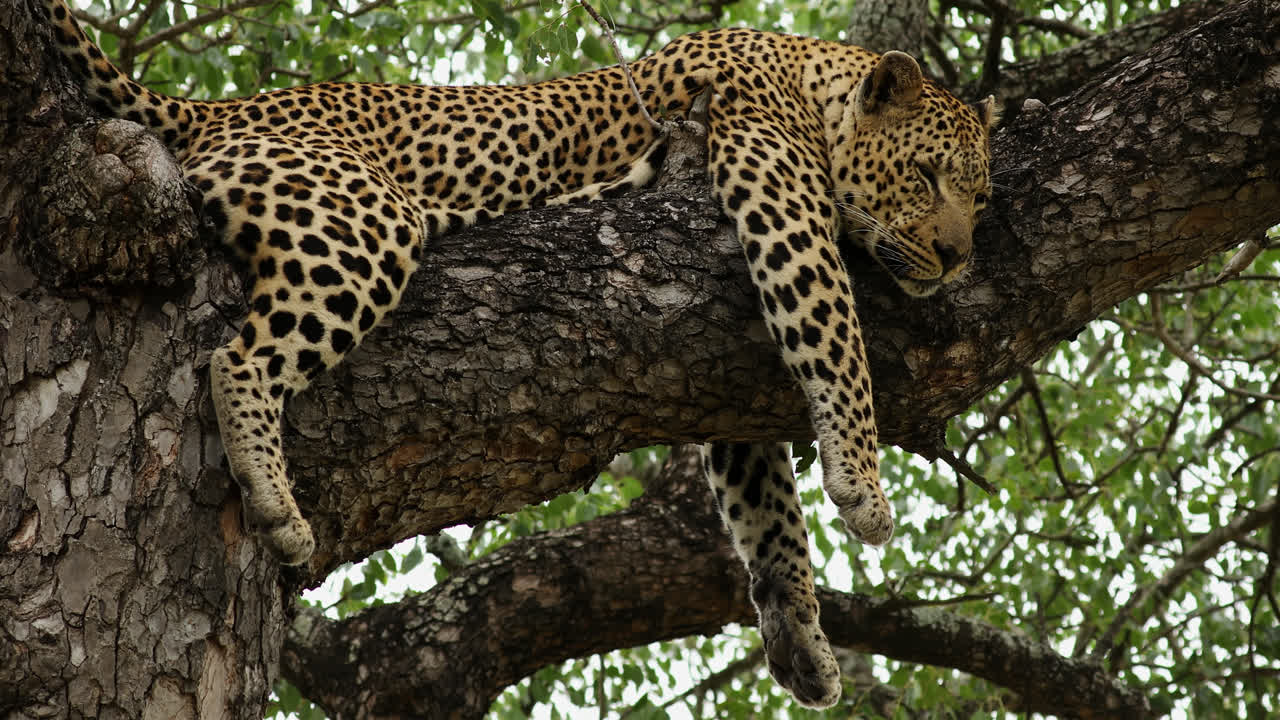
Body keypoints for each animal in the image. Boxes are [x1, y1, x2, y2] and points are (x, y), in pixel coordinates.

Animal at [40, 0, 994, 708]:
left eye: (981, 202)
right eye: (926, 179)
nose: (959, 259)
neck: (812, 78)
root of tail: (218, 108)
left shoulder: (721, 366)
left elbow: (764, 506)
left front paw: (800, 632)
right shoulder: (778, 196)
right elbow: (835, 333)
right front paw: (863, 485)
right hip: (365, 220)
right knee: (237, 360)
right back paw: (274, 500)